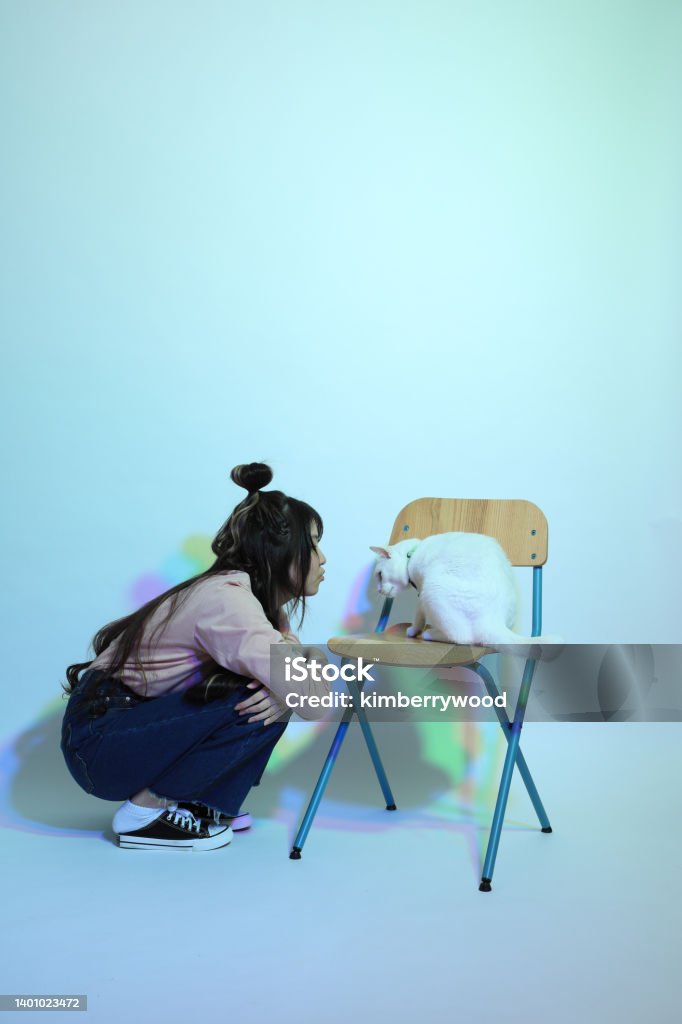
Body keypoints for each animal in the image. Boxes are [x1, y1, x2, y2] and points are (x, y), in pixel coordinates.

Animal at [368, 536, 561, 647]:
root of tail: (495, 620)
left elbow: (419, 616)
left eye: (379, 575)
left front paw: (413, 630)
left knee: (463, 637)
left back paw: (430, 634)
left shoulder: (421, 591)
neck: (412, 553)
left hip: (432, 587)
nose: (378, 590)